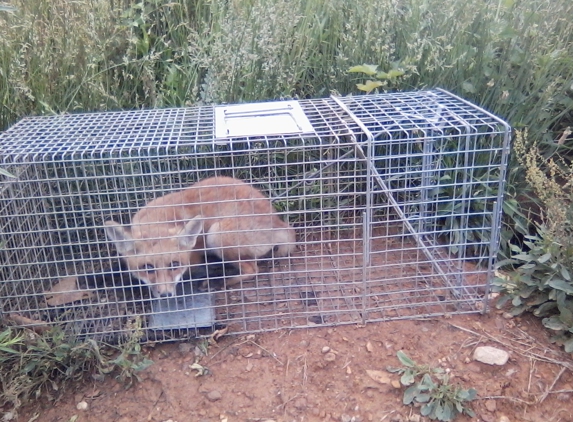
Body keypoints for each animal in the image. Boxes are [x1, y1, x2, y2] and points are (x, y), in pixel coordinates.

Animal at [103, 176, 298, 298]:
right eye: (148, 267)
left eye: (174, 265)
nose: (166, 295)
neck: (157, 220)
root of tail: (277, 221)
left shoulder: (194, 259)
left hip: (216, 234)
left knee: (252, 270)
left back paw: (219, 281)